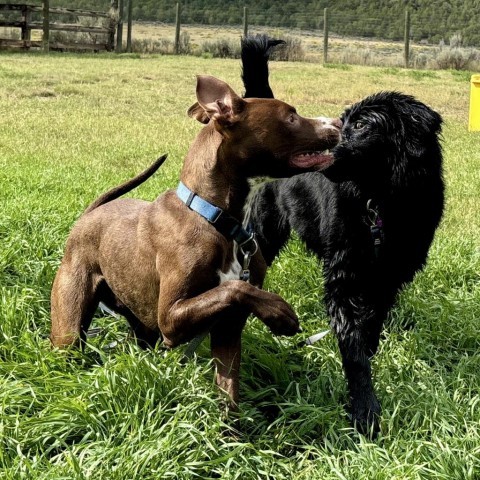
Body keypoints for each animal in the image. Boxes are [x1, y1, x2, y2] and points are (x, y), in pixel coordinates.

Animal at [50, 75, 342, 404]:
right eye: (291, 117)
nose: (338, 122)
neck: (218, 221)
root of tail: (88, 216)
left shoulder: (227, 329)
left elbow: (228, 391)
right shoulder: (171, 318)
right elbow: (234, 288)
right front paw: (279, 312)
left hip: (143, 326)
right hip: (70, 327)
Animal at [242, 35, 444, 434]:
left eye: (362, 125)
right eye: (341, 120)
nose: (318, 147)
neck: (381, 203)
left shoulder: (390, 275)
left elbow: (371, 327)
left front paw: (371, 352)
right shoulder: (344, 277)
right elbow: (353, 349)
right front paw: (365, 409)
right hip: (264, 232)